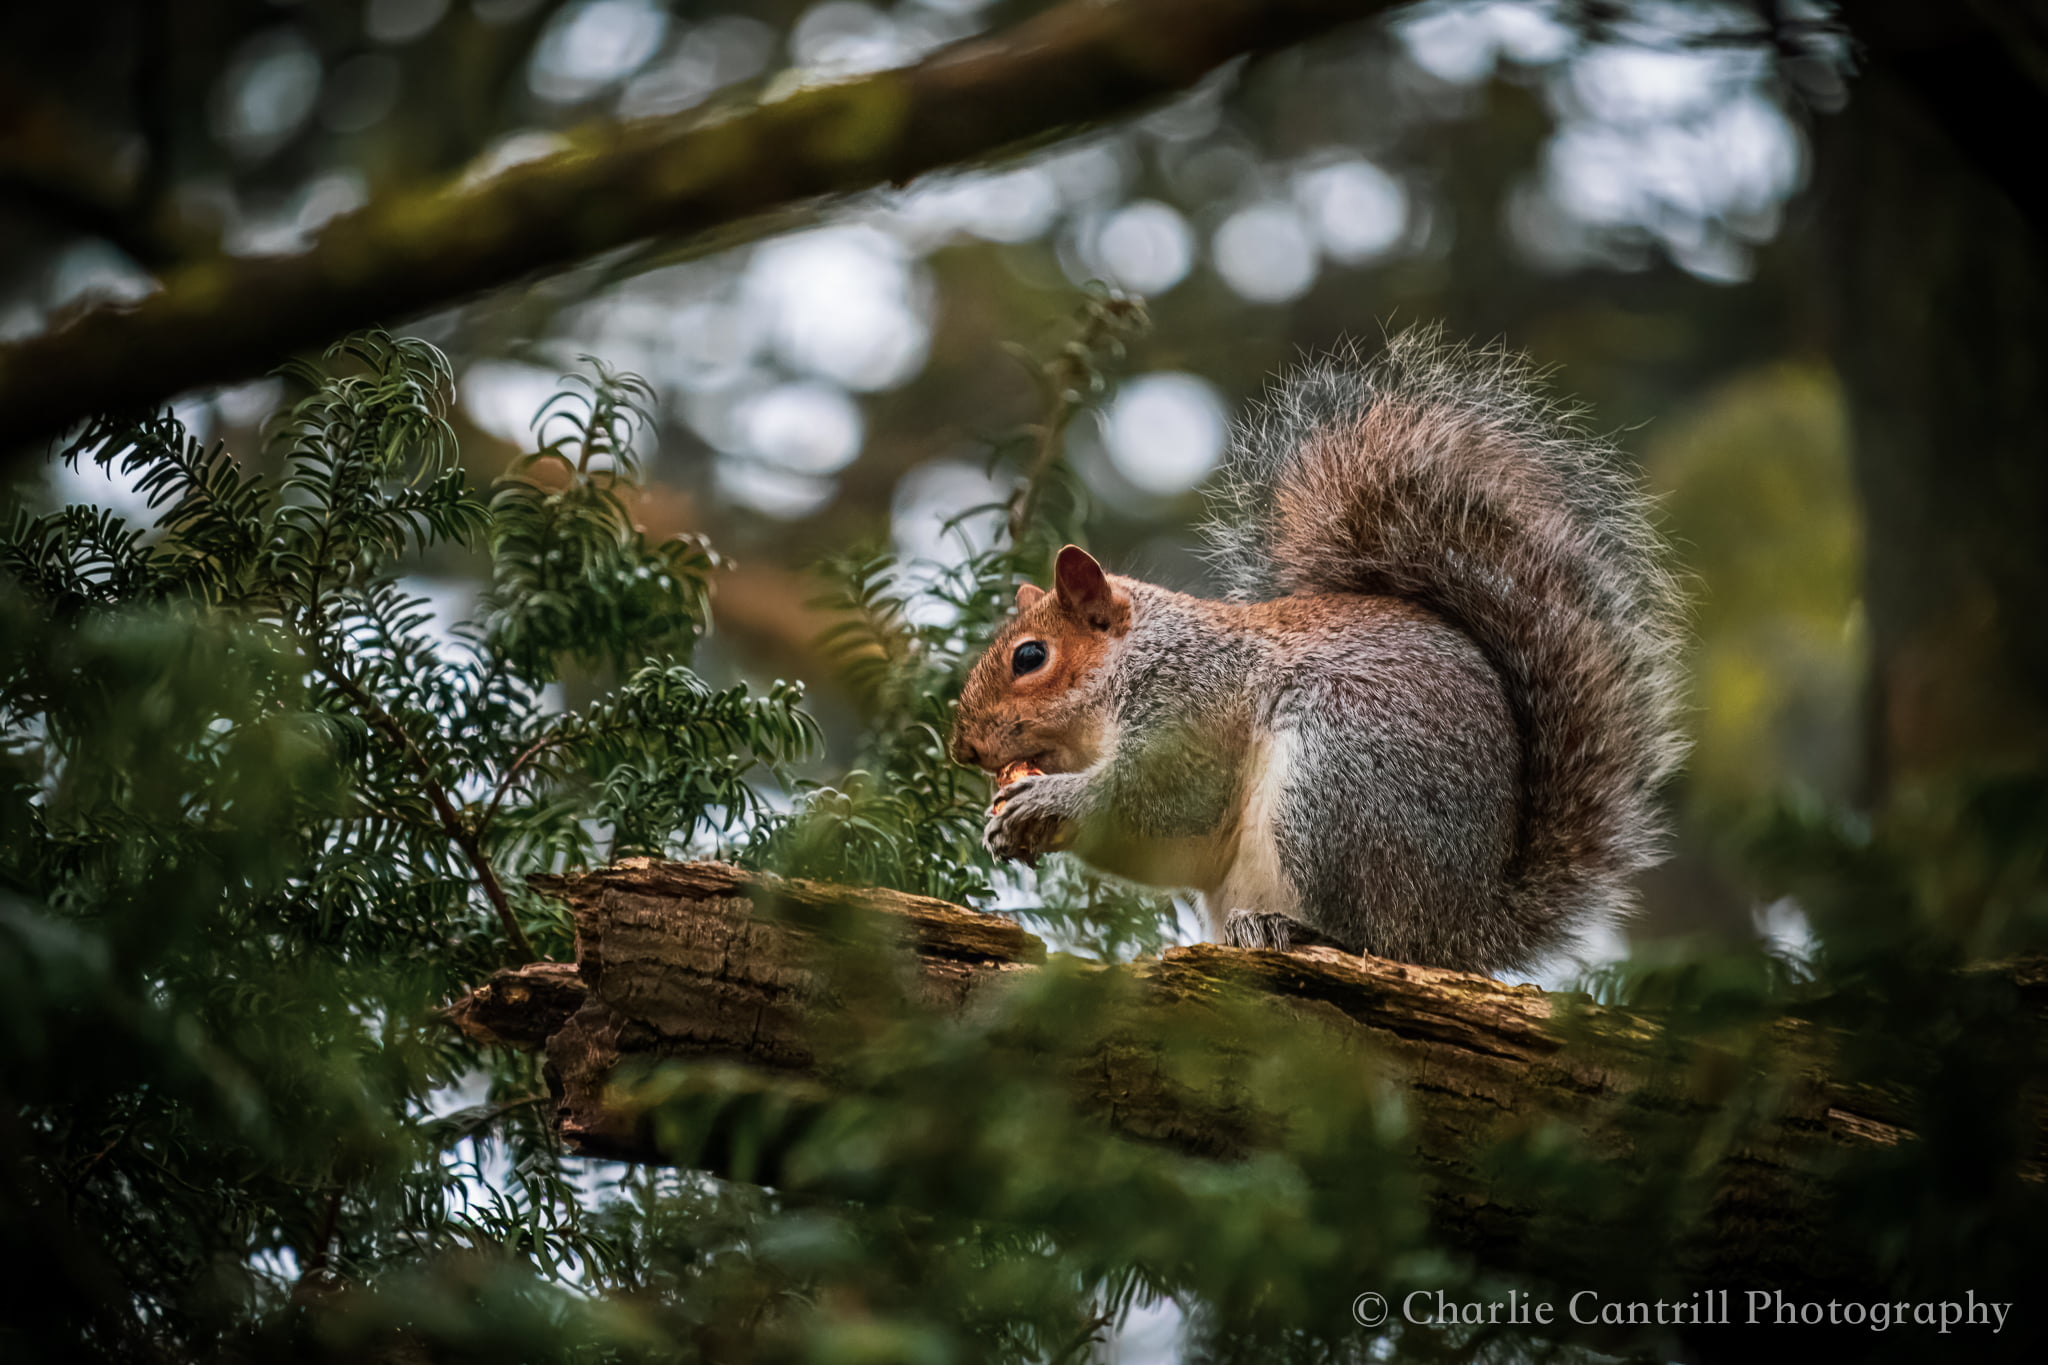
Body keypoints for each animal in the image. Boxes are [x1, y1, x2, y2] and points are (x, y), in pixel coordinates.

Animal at [942, 327, 1679, 978]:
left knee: (1377, 938)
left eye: (1030, 658)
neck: (1132, 663)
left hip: (1334, 782)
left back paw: (1300, 929)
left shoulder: (1193, 704)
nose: (962, 749)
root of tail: (1467, 926)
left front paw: (1046, 801)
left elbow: (1165, 799)